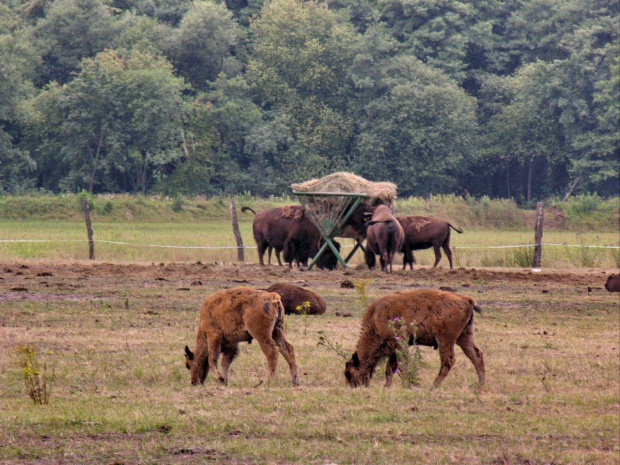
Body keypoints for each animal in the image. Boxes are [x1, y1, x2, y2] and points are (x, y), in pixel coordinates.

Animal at [344, 290, 484, 388]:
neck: (376, 319)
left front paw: (407, 384)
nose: (354, 387)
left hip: (445, 339)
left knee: (448, 360)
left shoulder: (399, 345)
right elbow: (390, 368)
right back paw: (480, 386)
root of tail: (465, 299)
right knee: (476, 355)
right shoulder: (393, 350)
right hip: (464, 336)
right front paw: (387, 386)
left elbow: (400, 366)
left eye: (349, 373)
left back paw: (433, 386)